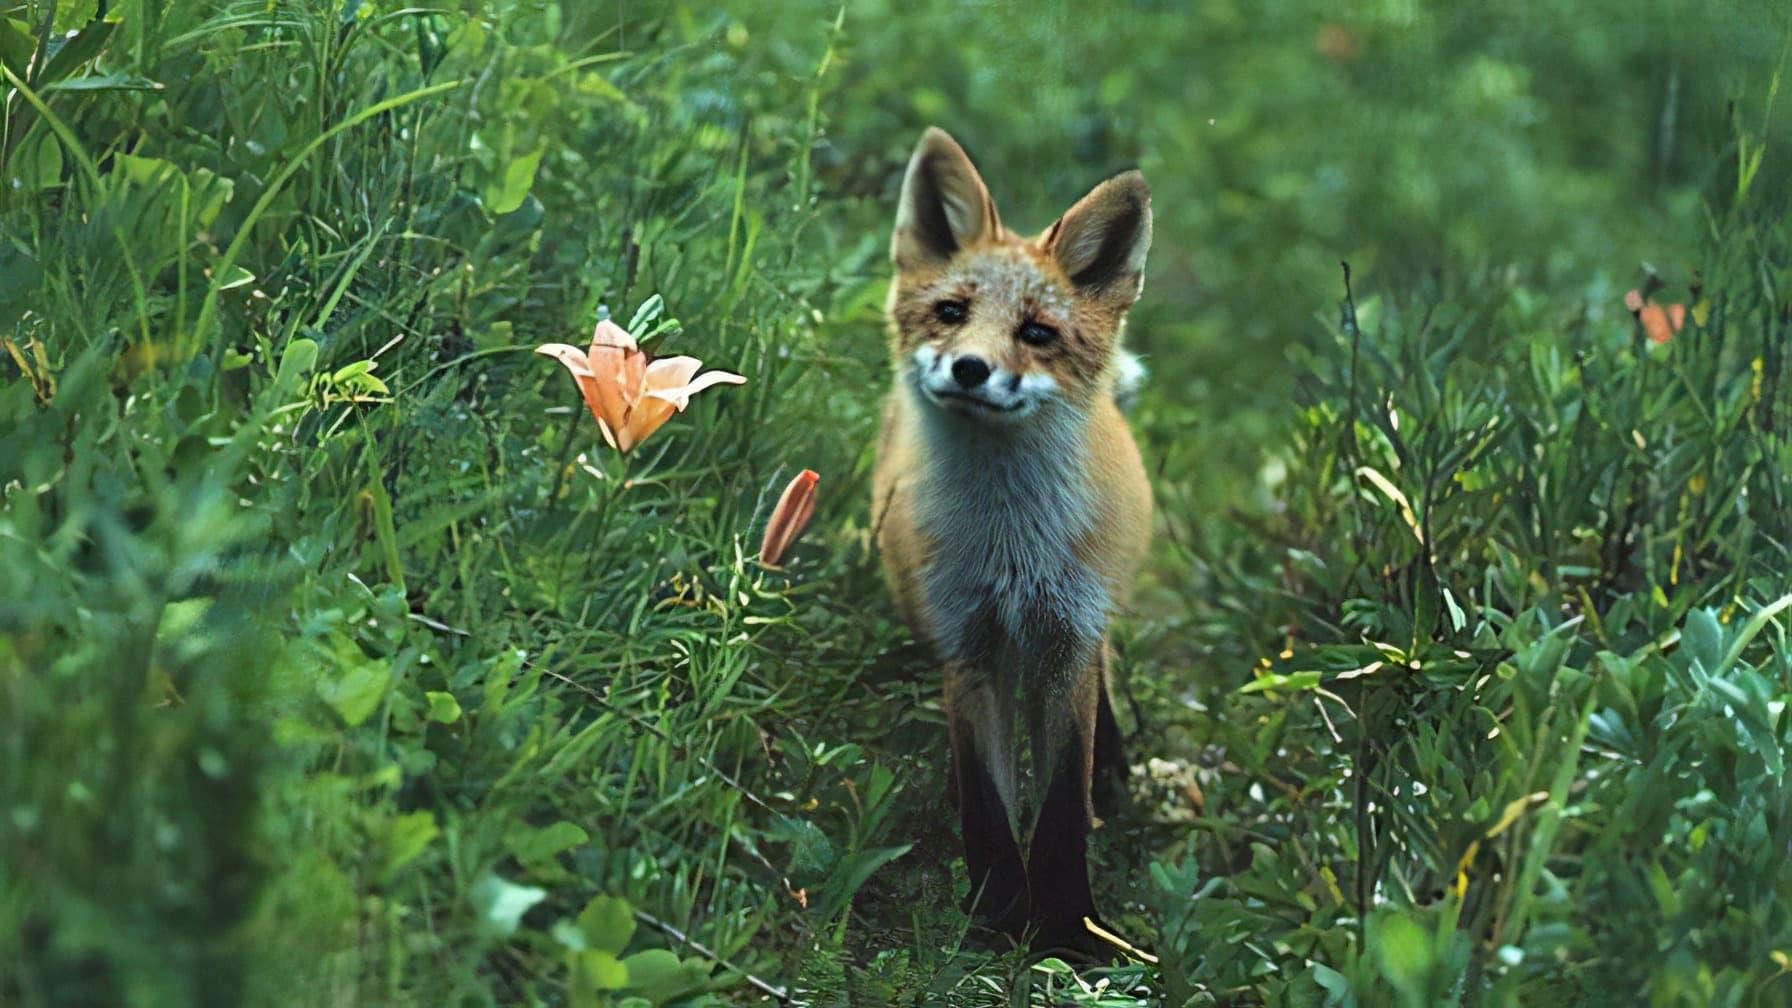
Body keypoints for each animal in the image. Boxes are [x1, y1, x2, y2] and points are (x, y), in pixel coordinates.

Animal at [874, 129, 1154, 954]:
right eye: (951, 311)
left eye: (1036, 332)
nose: (971, 368)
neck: (1011, 552)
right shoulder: (969, 646)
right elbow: (989, 810)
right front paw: (996, 923)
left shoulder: (1065, 642)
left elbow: (1059, 808)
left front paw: (1067, 931)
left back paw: (1113, 774)